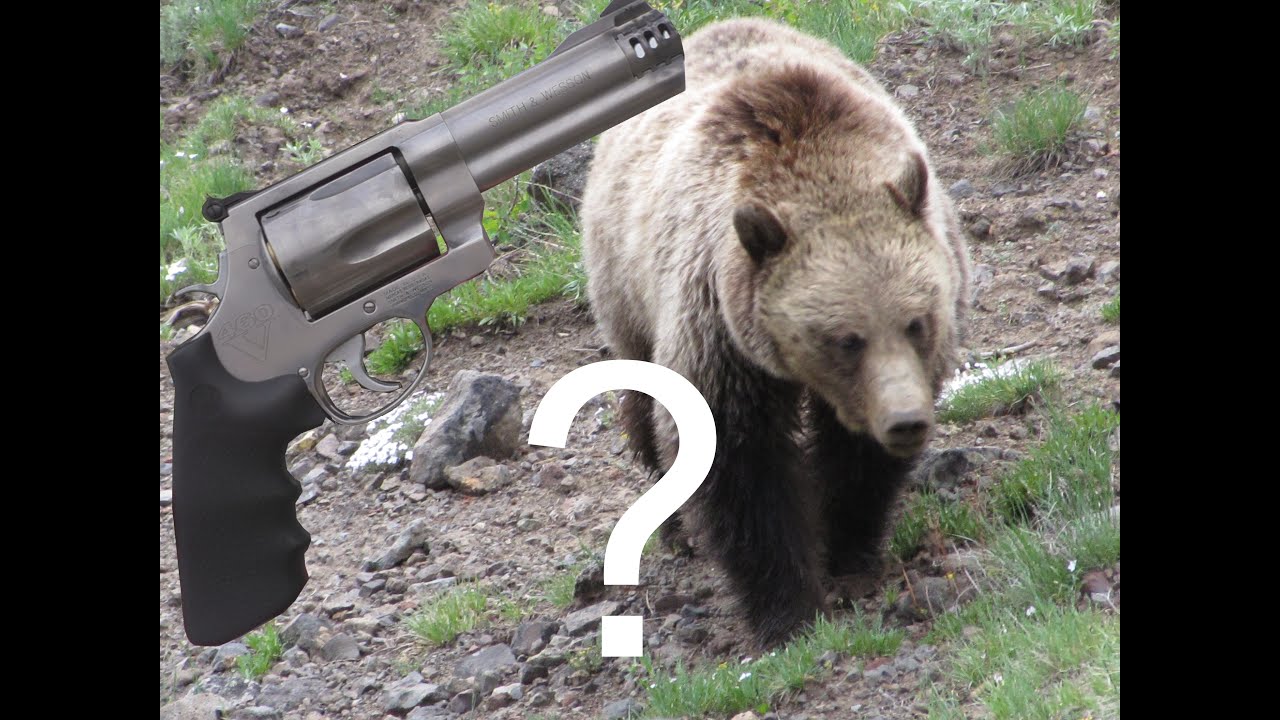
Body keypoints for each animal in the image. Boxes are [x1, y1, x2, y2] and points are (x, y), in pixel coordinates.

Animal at [579, 18, 971, 647]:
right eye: (845, 338)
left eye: (917, 321)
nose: (905, 421)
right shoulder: (717, 327)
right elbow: (738, 464)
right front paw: (788, 609)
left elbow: (854, 459)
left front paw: (849, 556)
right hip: (623, 280)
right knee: (639, 388)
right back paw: (673, 524)